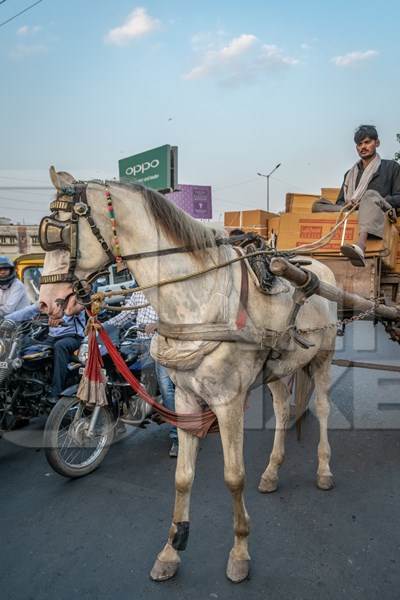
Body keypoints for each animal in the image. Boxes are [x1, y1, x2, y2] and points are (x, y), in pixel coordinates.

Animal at [39, 168, 338, 580]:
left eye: (59, 231)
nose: (47, 303)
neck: (196, 301)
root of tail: (318, 266)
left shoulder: (228, 402)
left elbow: (233, 477)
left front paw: (240, 551)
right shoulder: (184, 398)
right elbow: (182, 477)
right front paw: (172, 548)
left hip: (323, 355)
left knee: (323, 409)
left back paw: (324, 470)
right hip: (280, 368)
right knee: (281, 410)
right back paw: (272, 472)